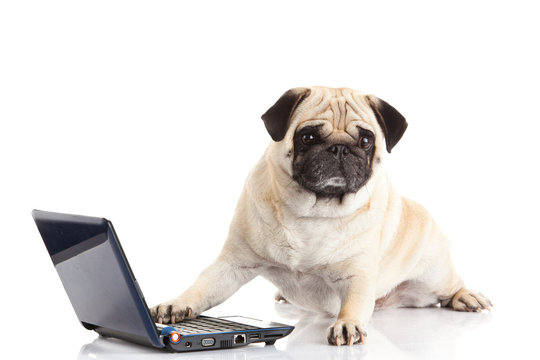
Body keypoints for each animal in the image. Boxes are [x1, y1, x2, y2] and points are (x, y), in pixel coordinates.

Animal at [150, 86, 492, 346]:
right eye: (308, 138)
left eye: (366, 141)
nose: (340, 149)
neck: (311, 213)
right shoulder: (233, 264)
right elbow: (202, 287)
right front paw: (177, 304)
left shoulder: (357, 276)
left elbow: (352, 304)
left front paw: (348, 324)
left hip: (433, 275)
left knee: (450, 286)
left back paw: (467, 297)